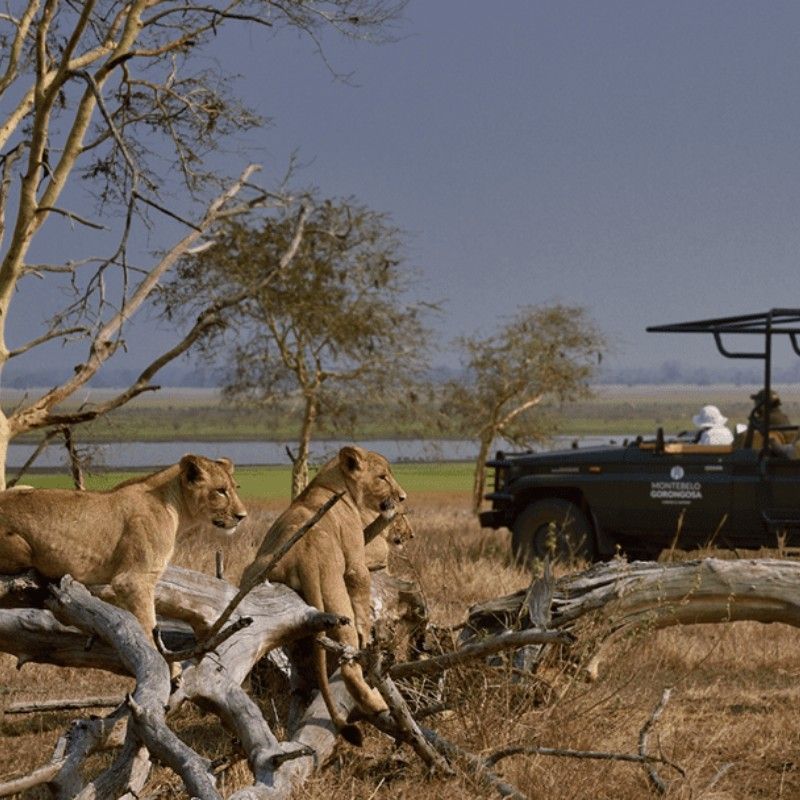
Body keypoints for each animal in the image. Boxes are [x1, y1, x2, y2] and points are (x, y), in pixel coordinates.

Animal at [0, 454, 247, 654]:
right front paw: (172, 672)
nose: (242, 516)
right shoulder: (132, 580)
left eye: (235, 487)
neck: (175, 507)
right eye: (221, 491)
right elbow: (149, 629)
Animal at [239, 445, 406, 745]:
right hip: (336, 597)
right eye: (383, 477)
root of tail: (304, 557)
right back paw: (376, 703)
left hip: (257, 572)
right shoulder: (355, 560)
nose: (402, 498)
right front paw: (368, 634)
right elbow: (361, 588)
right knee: (348, 663)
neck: (333, 484)